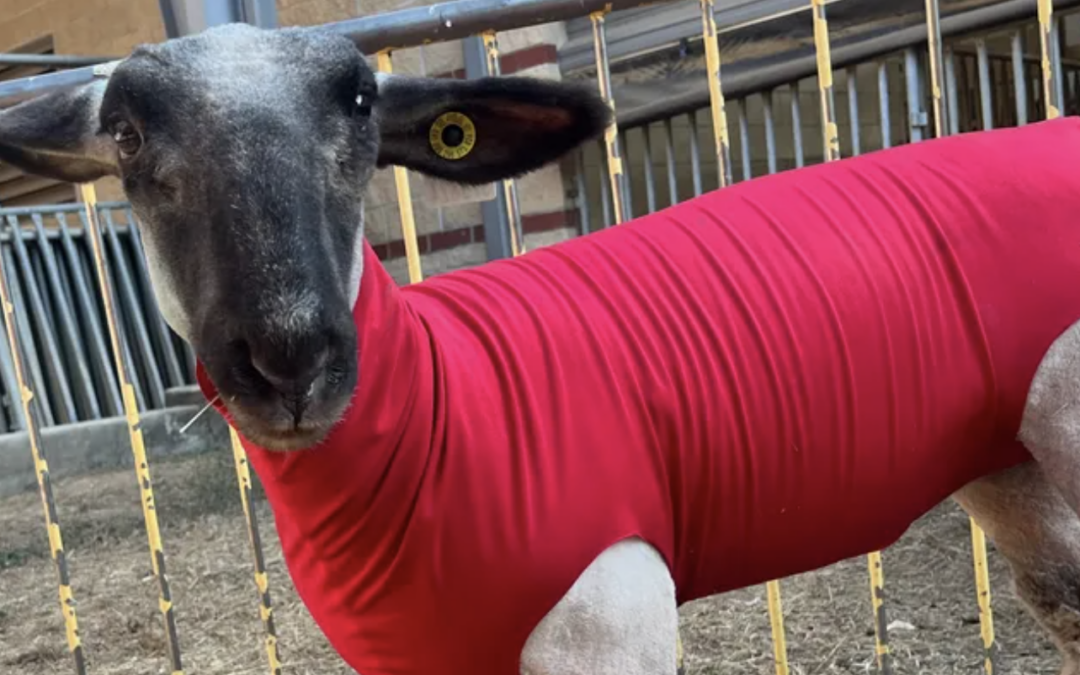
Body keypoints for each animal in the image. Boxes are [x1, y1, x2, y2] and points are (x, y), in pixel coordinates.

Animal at [6, 19, 1080, 673]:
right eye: (125, 133)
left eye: (359, 104)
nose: (289, 359)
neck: (441, 406)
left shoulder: (612, 619)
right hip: (1012, 468)